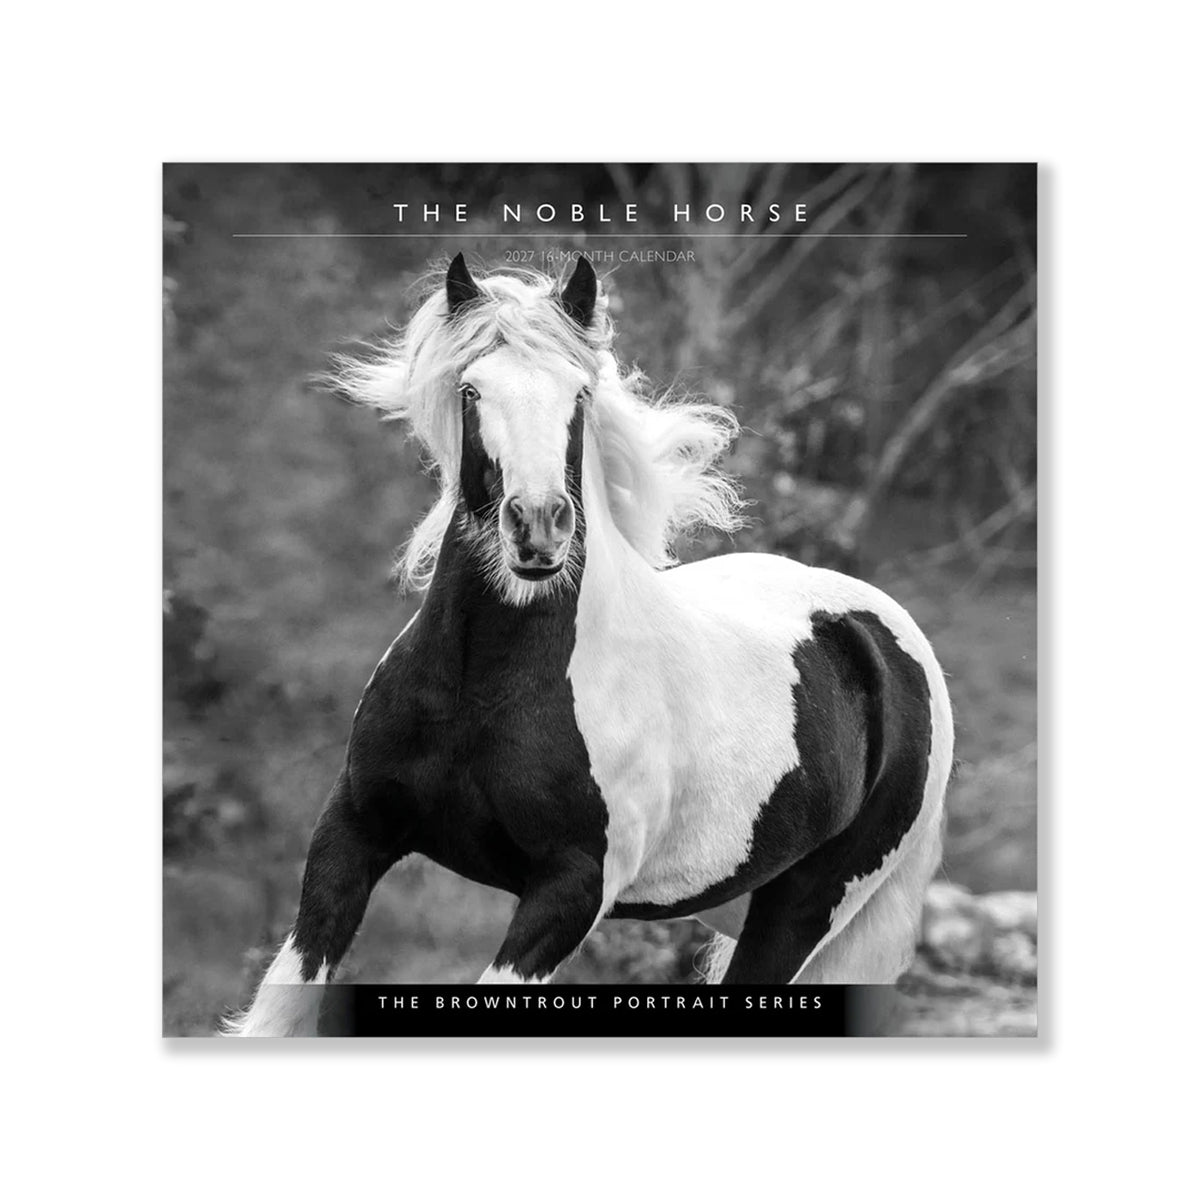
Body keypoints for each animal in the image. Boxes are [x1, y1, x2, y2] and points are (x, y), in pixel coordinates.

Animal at [226, 253, 954, 1036]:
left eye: (578, 392)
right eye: (472, 389)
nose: (538, 527)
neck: (485, 686)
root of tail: (886, 636)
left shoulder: (570, 892)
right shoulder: (352, 830)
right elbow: (277, 1008)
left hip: (808, 906)